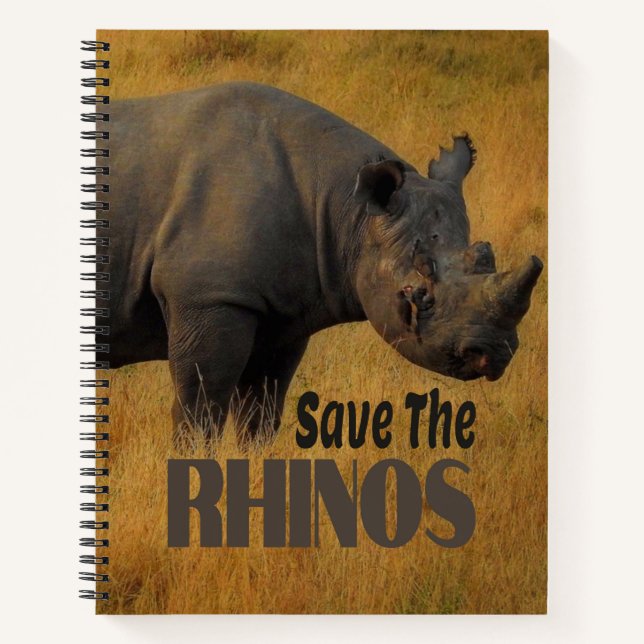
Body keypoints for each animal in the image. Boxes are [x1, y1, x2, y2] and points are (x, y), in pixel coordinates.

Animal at [98, 82, 542, 440]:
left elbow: (262, 411)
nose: (493, 353)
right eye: (418, 294)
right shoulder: (211, 296)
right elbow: (200, 408)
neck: (349, 209)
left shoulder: (281, 312)